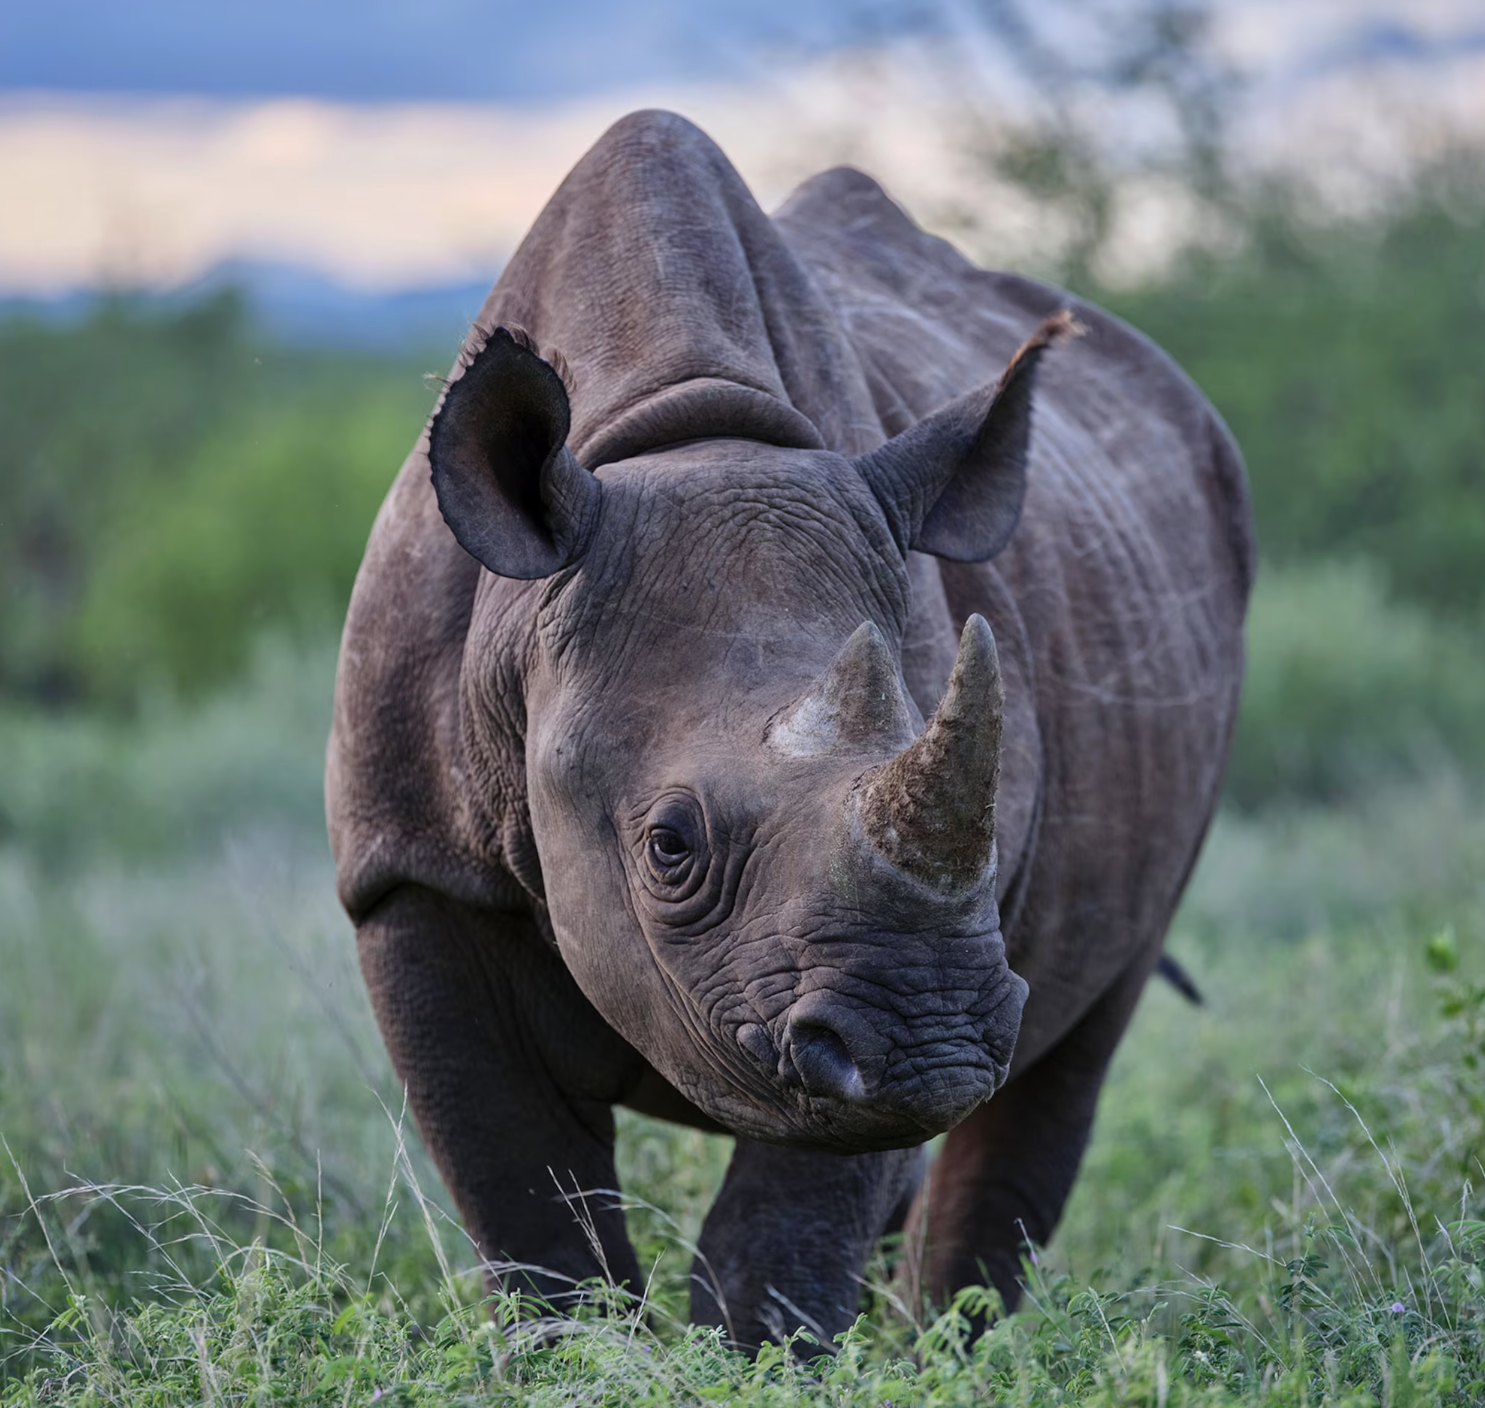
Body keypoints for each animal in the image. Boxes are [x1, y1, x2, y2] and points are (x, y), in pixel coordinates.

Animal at [327, 109, 1252, 1350]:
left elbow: (780, 1232)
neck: (676, 432)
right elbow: (527, 1208)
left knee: (1073, 1046)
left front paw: (761, 1363)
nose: (932, 1041)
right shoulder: (410, 869)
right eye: (669, 844)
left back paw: (946, 1350)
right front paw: (585, 1358)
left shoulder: (882, 976)